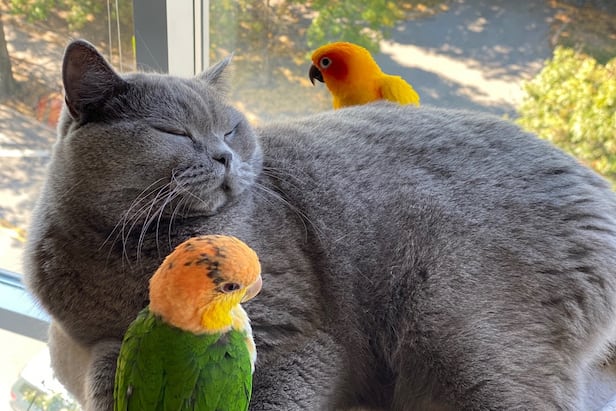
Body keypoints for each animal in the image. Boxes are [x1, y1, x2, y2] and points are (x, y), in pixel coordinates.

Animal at [24, 39, 616, 411]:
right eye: (173, 132)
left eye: (231, 129)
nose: (223, 156)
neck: (130, 250)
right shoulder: (98, 340)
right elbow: (113, 375)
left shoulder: (298, 337)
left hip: (465, 328)